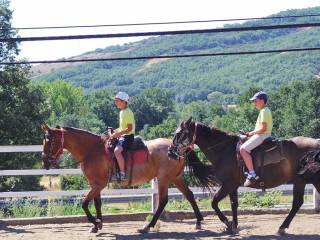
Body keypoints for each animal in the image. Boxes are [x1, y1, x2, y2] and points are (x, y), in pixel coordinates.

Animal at [40, 124, 215, 232]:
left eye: (50, 141)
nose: (45, 161)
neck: (92, 151)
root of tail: (177, 149)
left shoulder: (99, 184)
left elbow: (84, 203)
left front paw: (95, 222)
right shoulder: (95, 184)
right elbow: (97, 203)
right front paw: (98, 225)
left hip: (164, 178)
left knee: (163, 201)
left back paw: (148, 226)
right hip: (176, 177)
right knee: (189, 195)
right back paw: (198, 222)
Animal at [168, 118, 320, 234]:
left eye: (179, 133)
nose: (170, 152)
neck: (224, 149)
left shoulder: (228, 184)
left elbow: (214, 202)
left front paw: (227, 223)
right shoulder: (233, 186)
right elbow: (234, 204)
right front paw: (234, 226)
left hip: (304, 180)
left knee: (296, 203)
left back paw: (282, 227)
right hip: (301, 181)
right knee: (297, 203)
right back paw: (282, 227)